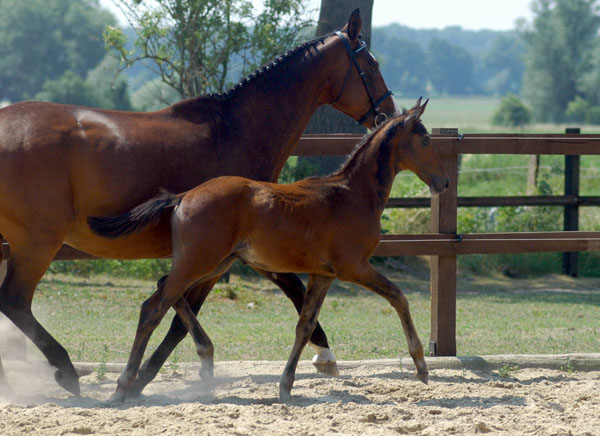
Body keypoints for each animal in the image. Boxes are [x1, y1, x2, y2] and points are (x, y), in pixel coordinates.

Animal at [88, 99, 446, 402]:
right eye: (426, 141)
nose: (443, 182)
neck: (352, 194)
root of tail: (183, 196)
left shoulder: (323, 274)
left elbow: (305, 325)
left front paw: (286, 385)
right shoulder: (353, 266)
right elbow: (398, 296)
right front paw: (421, 366)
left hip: (215, 263)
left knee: (167, 291)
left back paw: (203, 360)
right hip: (199, 261)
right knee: (153, 306)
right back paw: (123, 386)